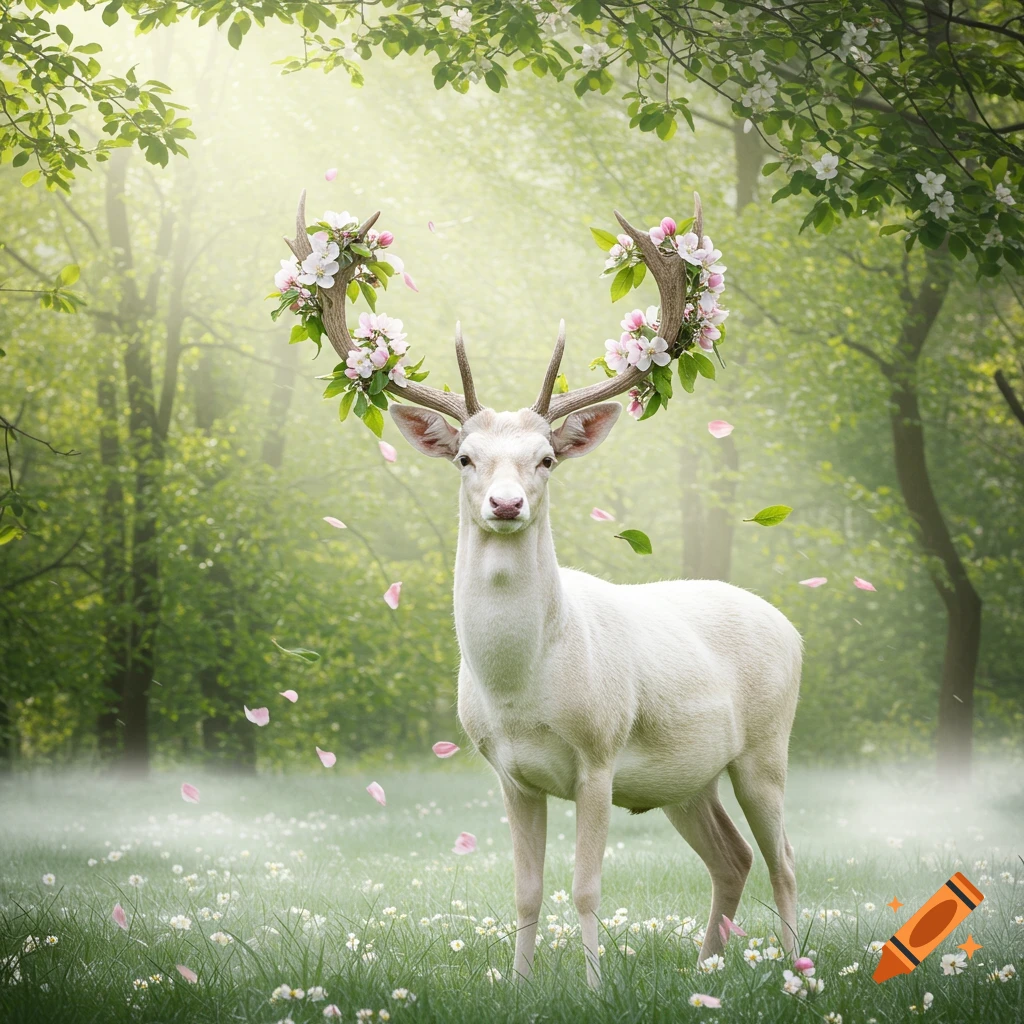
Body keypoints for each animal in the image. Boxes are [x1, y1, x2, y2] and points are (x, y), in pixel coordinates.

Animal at [285, 192, 802, 988]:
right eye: (465, 457)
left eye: (548, 459)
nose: (506, 504)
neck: (522, 690)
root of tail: (792, 626)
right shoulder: (509, 773)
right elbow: (526, 888)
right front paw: (522, 984)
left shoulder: (600, 753)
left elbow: (585, 886)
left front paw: (594, 988)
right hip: (688, 778)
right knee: (733, 856)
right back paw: (704, 972)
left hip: (767, 747)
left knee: (785, 861)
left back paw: (793, 971)